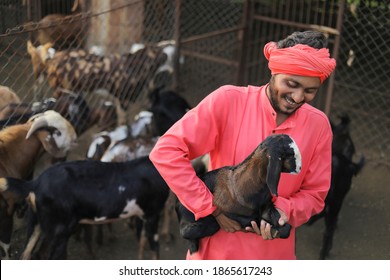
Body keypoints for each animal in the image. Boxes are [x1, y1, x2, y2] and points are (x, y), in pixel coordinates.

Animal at [0, 156, 169, 260]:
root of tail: (35, 183)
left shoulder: (142, 214)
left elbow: (142, 240)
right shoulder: (153, 213)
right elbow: (155, 248)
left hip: (35, 224)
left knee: (25, 255)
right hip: (59, 230)